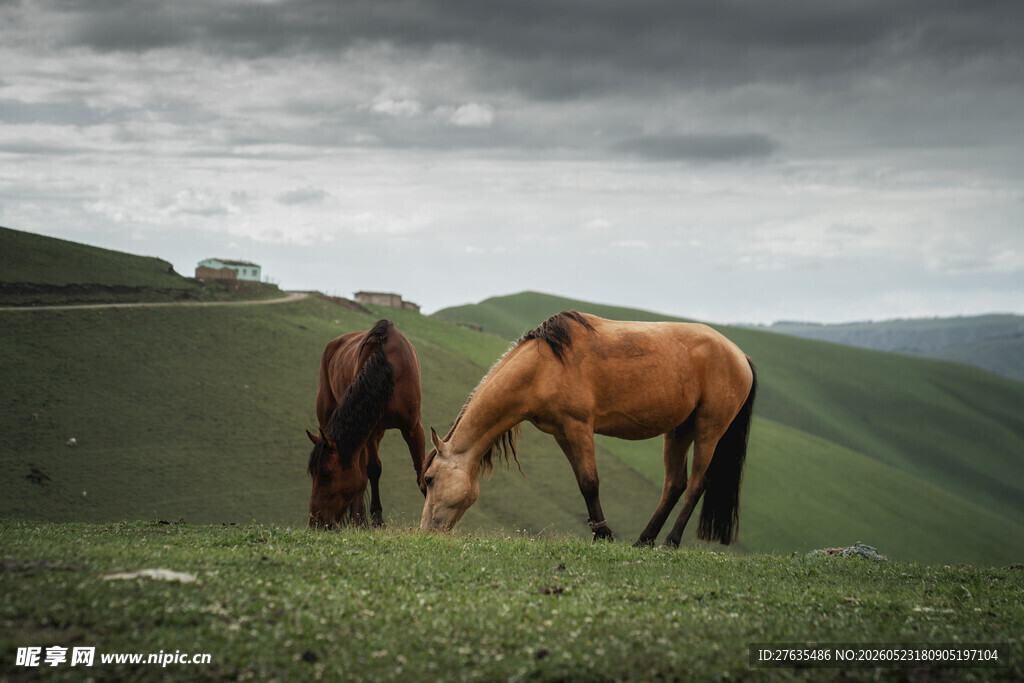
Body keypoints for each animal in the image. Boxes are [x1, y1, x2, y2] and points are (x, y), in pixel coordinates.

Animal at [307, 319, 426, 529]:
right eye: (312, 474)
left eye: (327, 474)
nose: (316, 522)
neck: (389, 370)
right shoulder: (370, 430)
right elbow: (372, 470)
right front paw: (375, 518)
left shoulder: (413, 427)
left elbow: (422, 469)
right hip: (328, 415)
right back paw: (359, 519)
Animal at [420, 310, 757, 547]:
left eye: (430, 479)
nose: (424, 532)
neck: (543, 367)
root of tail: (740, 355)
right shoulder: (562, 432)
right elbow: (582, 482)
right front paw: (599, 532)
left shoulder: (579, 426)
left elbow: (590, 481)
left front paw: (604, 534)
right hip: (679, 431)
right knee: (674, 485)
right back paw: (643, 540)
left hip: (709, 429)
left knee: (697, 484)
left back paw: (670, 542)